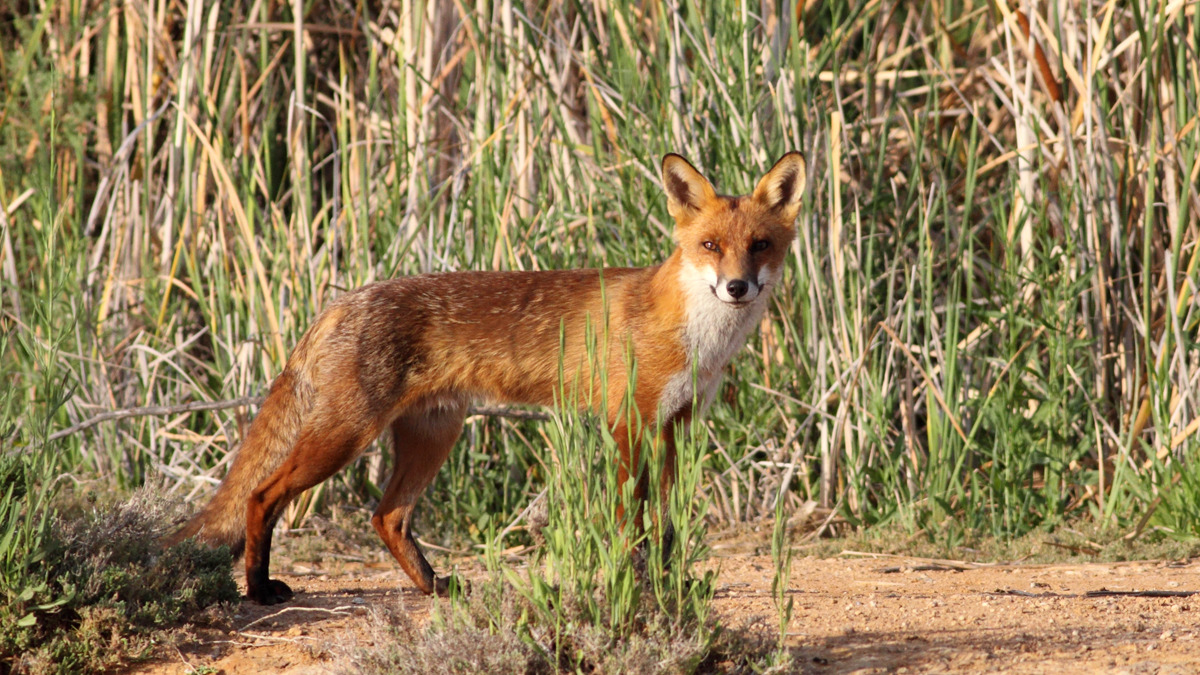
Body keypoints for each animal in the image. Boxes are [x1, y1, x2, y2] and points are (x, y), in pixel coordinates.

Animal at [167, 152, 806, 604]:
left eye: (760, 246)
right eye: (710, 246)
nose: (737, 287)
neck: (696, 340)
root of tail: (342, 301)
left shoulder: (676, 426)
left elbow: (666, 526)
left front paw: (670, 584)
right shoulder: (629, 425)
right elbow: (633, 524)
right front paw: (636, 584)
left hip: (433, 436)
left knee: (386, 517)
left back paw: (433, 588)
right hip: (343, 437)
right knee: (262, 494)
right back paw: (257, 590)